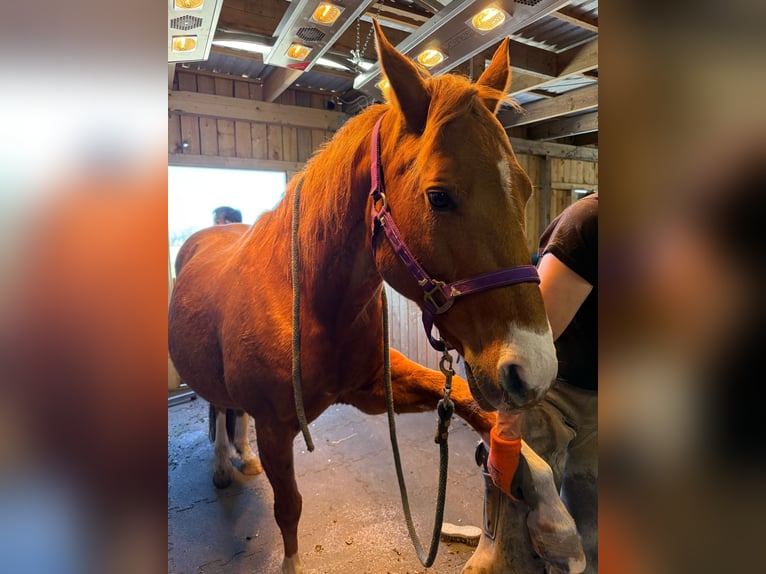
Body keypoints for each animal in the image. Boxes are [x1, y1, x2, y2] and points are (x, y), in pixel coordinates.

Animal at [169, 21, 559, 574]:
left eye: (524, 188)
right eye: (439, 196)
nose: (535, 368)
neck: (311, 302)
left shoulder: (376, 388)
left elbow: (471, 406)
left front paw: (551, 513)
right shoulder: (275, 427)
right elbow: (289, 508)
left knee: (230, 411)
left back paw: (240, 457)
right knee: (216, 408)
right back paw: (225, 463)